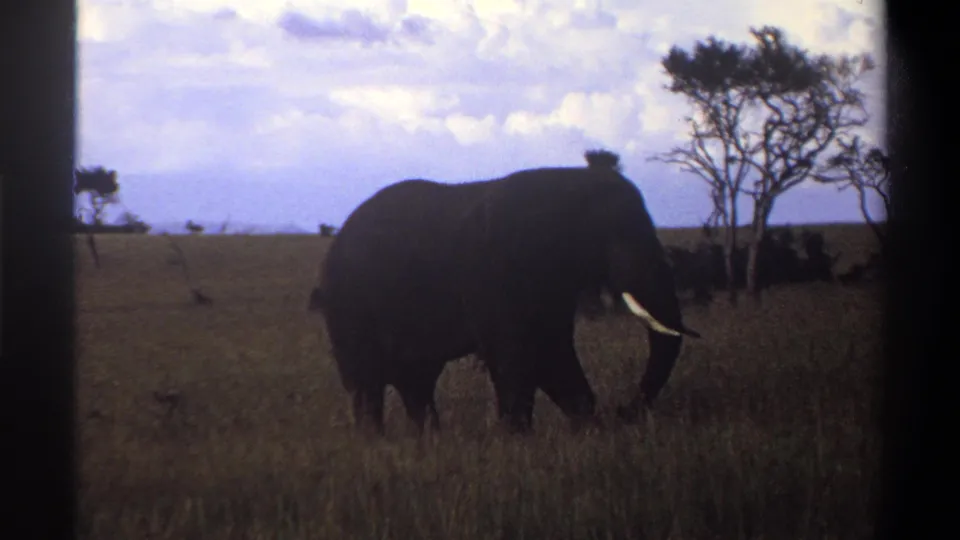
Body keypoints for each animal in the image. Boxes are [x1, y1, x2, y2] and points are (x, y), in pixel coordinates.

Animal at [311, 165, 701, 434]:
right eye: (611, 235)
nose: (623, 411)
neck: (566, 184)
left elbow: (552, 352)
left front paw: (587, 429)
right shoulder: (497, 273)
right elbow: (517, 356)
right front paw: (518, 440)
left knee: (416, 381)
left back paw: (429, 441)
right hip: (348, 307)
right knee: (367, 384)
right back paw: (377, 443)